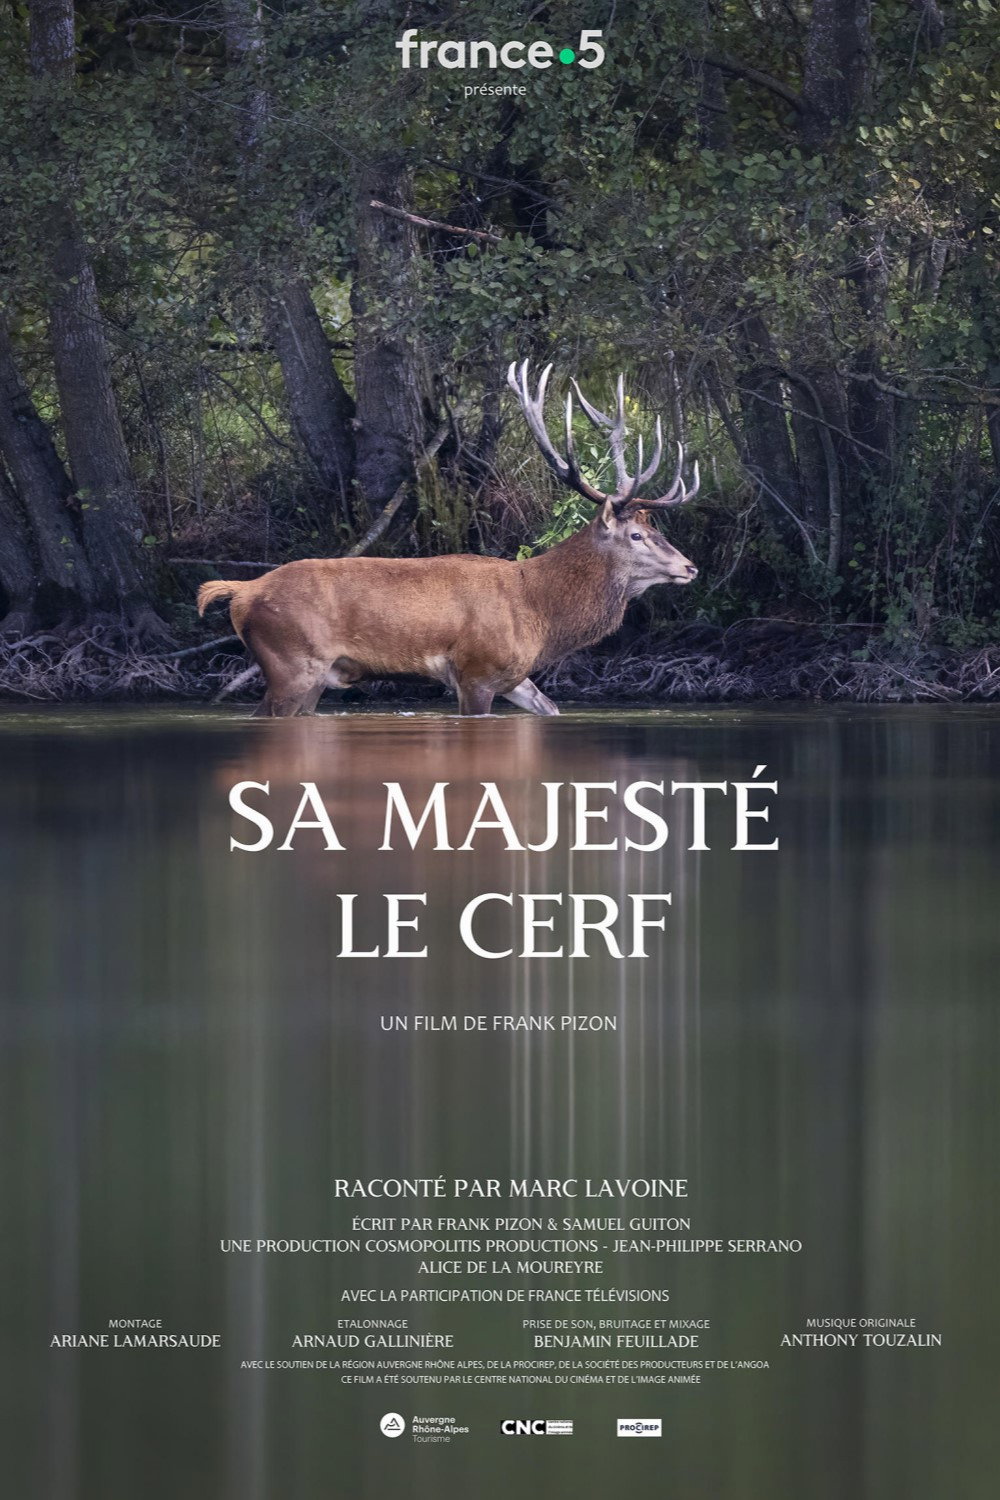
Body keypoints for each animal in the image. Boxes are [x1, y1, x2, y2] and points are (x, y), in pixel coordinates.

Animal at [196, 362, 700, 716]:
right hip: (292, 664)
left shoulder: (514, 676)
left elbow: (550, 707)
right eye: (637, 534)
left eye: (656, 529)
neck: (539, 612)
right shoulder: (475, 670)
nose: (690, 566)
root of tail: (241, 591)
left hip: (310, 675)